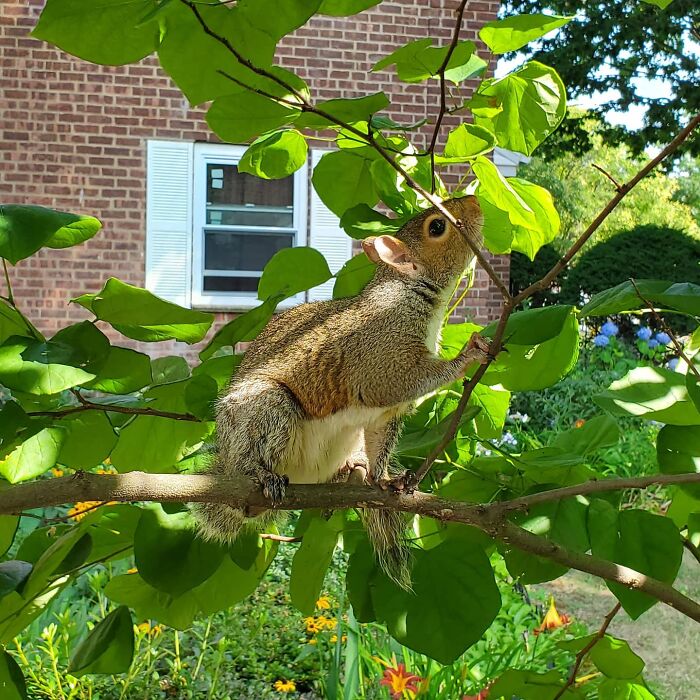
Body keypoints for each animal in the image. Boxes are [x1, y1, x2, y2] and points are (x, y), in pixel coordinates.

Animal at [192, 195, 491, 589]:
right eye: (437, 226)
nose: (476, 201)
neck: (409, 292)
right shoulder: (382, 360)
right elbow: (404, 379)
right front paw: (467, 356)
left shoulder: (385, 414)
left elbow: (380, 437)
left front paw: (385, 479)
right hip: (265, 408)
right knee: (250, 452)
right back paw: (258, 476)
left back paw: (353, 469)